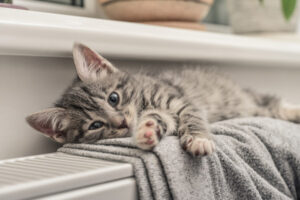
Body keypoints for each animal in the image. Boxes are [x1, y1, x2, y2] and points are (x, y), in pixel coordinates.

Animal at [26, 43, 300, 156]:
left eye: (113, 98)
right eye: (95, 125)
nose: (122, 122)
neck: (144, 102)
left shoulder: (182, 100)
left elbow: (193, 117)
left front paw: (199, 139)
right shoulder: (167, 112)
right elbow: (161, 120)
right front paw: (148, 130)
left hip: (248, 98)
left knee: (274, 104)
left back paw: (293, 111)